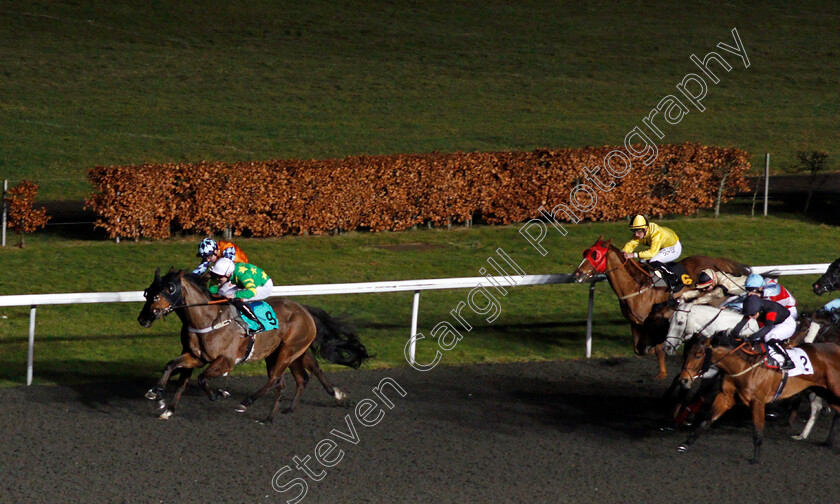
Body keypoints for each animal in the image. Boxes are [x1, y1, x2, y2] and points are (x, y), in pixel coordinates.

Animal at [138, 270, 370, 424]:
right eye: (148, 292)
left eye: (166, 290)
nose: (143, 319)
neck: (208, 319)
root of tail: (304, 309)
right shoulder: (195, 356)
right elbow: (171, 367)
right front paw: (159, 396)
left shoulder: (226, 361)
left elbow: (202, 378)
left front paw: (219, 394)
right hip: (290, 353)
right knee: (301, 377)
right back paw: (275, 415)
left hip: (287, 351)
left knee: (276, 380)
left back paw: (246, 403)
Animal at [572, 236, 748, 378]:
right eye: (585, 252)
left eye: (594, 255)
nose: (577, 274)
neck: (637, 287)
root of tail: (718, 261)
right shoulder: (634, 322)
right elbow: (638, 349)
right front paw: (649, 350)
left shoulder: (654, 321)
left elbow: (658, 349)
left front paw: (662, 373)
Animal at [676, 334, 840, 464]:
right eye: (686, 353)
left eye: (698, 355)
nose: (683, 380)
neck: (744, 365)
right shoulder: (726, 397)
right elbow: (707, 420)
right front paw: (686, 443)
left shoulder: (758, 401)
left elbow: (758, 430)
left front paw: (755, 458)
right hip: (824, 391)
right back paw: (816, 439)